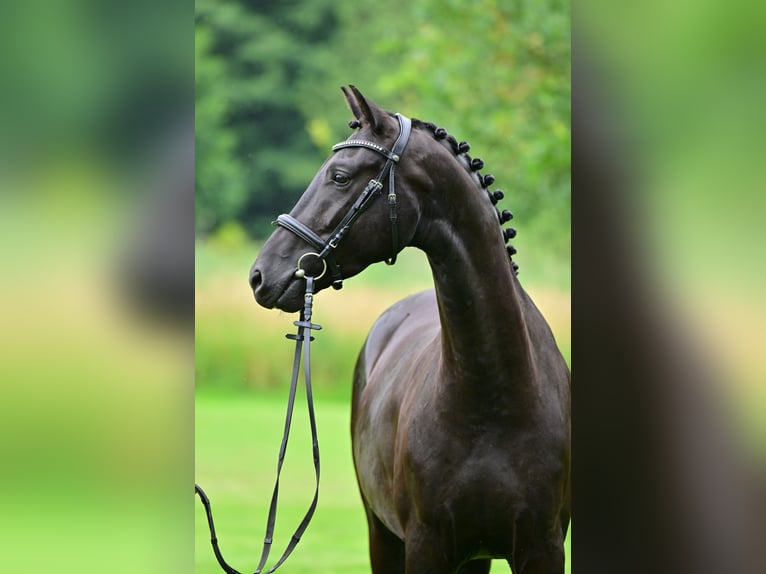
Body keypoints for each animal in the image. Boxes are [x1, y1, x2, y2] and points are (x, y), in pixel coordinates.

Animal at [252, 86, 568, 574]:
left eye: (339, 176)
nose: (260, 275)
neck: (495, 395)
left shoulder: (543, 547)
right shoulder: (426, 544)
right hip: (382, 537)